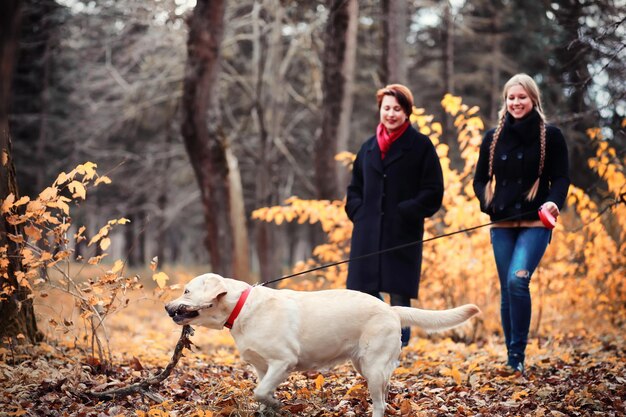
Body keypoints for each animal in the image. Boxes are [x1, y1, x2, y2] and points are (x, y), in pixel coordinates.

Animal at [165, 272, 478, 416]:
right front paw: (268, 409)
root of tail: (391, 308)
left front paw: (276, 404)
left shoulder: (283, 361)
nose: (167, 307)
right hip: (366, 366)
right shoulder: (262, 368)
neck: (241, 308)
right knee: (386, 393)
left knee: (380, 403)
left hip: (373, 367)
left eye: (186, 291)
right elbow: (260, 391)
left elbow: (261, 392)